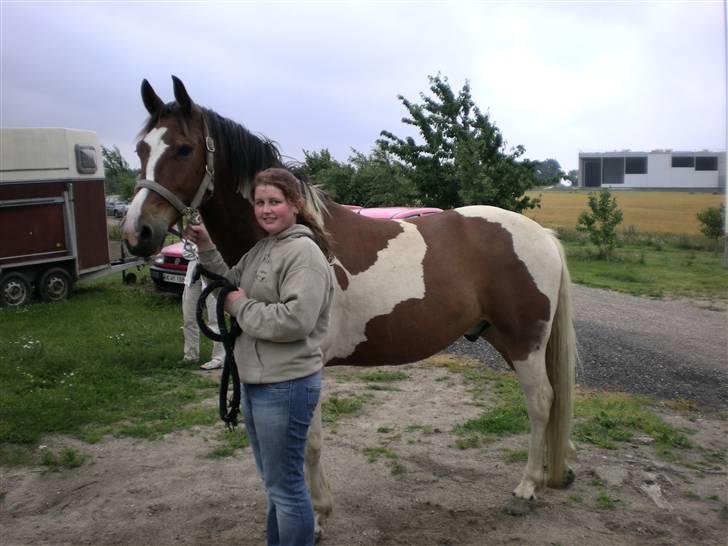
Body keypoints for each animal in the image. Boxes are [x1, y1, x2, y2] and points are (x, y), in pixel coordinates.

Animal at [123, 76, 576, 528]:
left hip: (524, 343)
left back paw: (527, 488)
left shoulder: (307, 365)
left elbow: (308, 443)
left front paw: (318, 515)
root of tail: (543, 236)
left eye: (184, 149)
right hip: (505, 339)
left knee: (541, 403)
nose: (137, 233)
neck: (305, 236)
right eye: (141, 149)